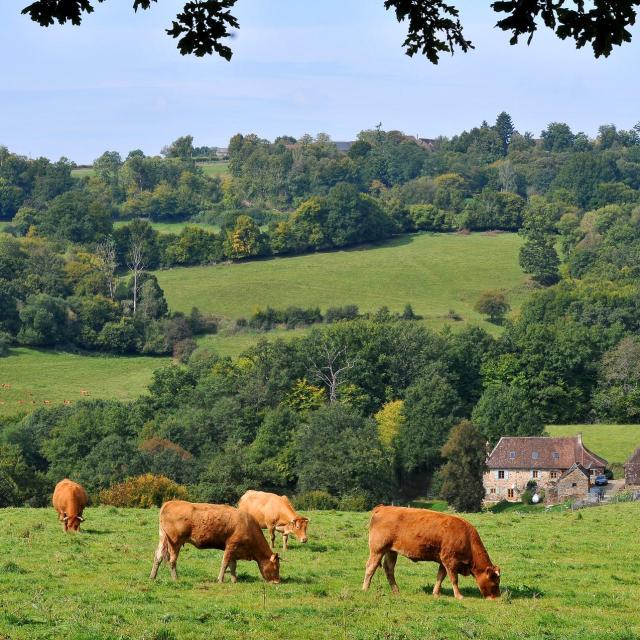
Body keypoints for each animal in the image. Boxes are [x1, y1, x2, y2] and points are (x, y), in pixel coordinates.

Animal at [151, 500, 282, 584]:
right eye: (276, 566)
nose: (277, 581)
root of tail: (169, 503)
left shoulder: (234, 550)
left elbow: (233, 565)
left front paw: (234, 580)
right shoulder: (231, 546)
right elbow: (225, 563)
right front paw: (220, 580)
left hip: (163, 538)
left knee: (158, 556)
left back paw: (152, 577)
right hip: (175, 542)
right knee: (172, 561)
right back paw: (176, 579)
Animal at [360, 504, 500, 600]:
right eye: (495, 581)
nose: (497, 597)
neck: (467, 538)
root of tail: (383, 507)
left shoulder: (443, 561)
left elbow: (440, 577)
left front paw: (436, 593)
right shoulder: (450, 560)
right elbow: (454, 579)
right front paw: (459, 596)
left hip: (391, 551)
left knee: (389, 569)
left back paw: (396, 591)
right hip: (377, 550)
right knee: (370, 567)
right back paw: (365, 589)